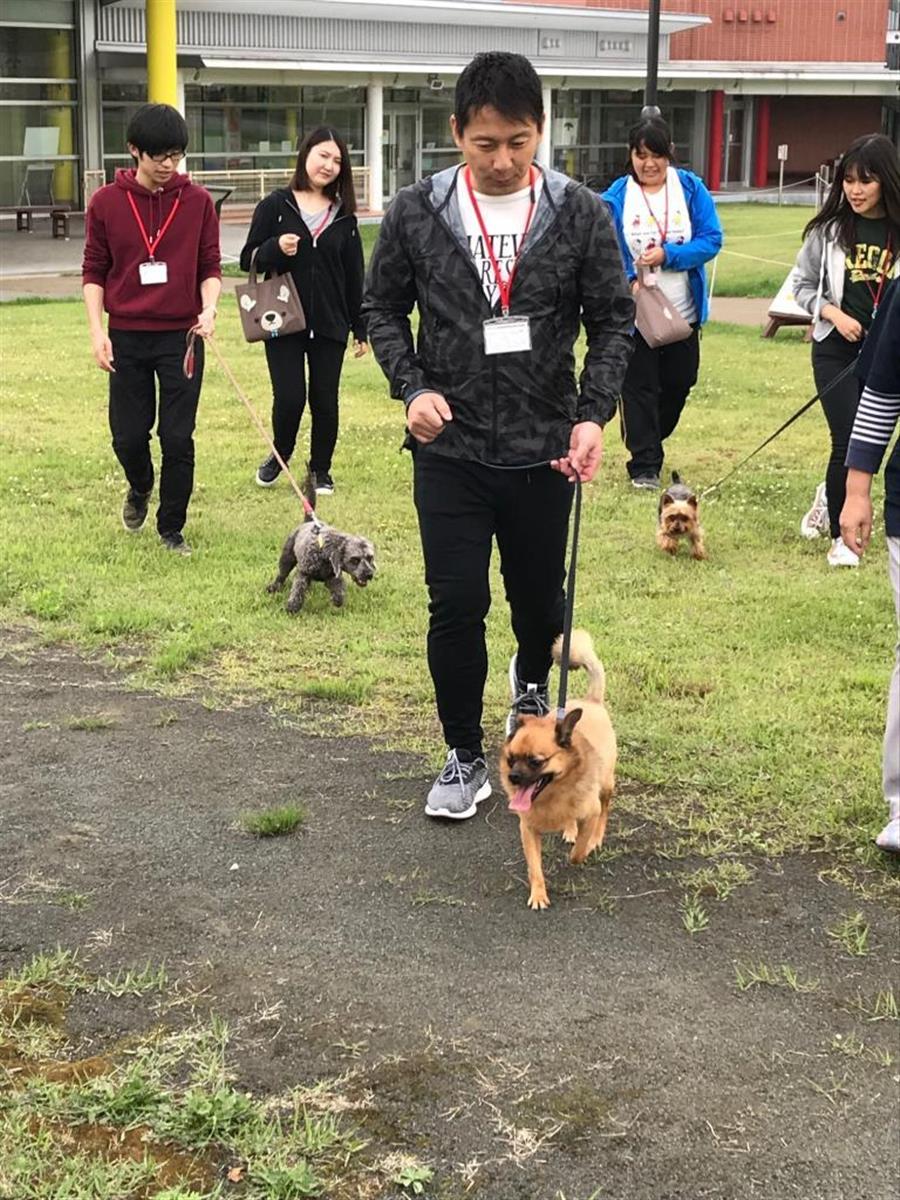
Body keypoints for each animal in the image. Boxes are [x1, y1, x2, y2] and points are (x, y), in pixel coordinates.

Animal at [266, 471, 376, 613]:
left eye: (370, 558)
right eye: (354, 560)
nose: (369, 574)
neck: (325, 552)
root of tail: (308, 521)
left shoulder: (333, 577)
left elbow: (339, 592)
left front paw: (337, 601)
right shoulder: (303, 573)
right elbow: (298, 589)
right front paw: (293, 606)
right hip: (287, 557)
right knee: (282, 575)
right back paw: (274, 587)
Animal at [500, 630, 617, 911]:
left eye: (536, 761)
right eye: (511, 759)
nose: (514, 777)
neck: (551, 795)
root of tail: (591, 700)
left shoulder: (591, 812)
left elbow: (580, 849)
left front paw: (581, 851)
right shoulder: (528, 830)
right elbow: (535, 867)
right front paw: (538, 894)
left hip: (606, 786)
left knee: (605, 809)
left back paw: (595, 837)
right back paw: (570, 829)